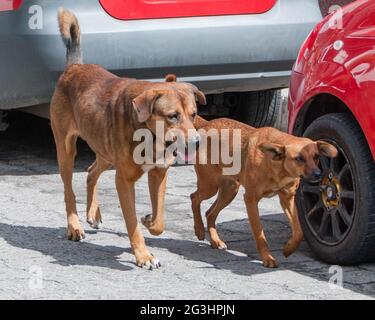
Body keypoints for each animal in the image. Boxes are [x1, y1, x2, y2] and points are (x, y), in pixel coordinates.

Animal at [50, 9, 206, 268]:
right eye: (173, 116)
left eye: (193, 115)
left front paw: (149, 220)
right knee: (68, 191)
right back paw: (74, 227)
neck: (149, 134)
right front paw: (143, 255)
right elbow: (132, 224)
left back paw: (93, 213)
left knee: (91, 172)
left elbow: (160, 221)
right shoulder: (123, 181)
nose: (197, 143)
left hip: (104, 150)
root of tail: (74, 67)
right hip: (66, 150)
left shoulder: (159, 174)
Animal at [191, 117, 338, 268]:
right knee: (194, 198)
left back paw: (215, 240)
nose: (318, 174)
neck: (277, 167)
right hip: (210, 186)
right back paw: (200, 230)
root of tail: (207, 123)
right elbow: (260, 235)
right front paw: (267, 258)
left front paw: (289, 248)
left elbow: (298, 232)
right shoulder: (251, 199)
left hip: (230, 190)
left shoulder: (287, 199)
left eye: (316, 156)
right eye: (299, 158)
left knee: (209, 213)